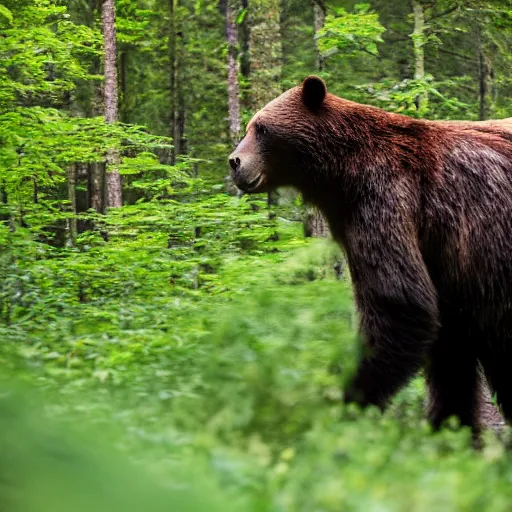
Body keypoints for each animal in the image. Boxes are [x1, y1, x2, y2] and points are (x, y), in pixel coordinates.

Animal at [229, 74, 512, 434]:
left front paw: (343, 398)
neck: (339, 176)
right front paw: (449, 427)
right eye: (250, 126)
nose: (234, 161)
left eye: (262, 128)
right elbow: (448, 358)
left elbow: (399, 305)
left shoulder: (385, 199)